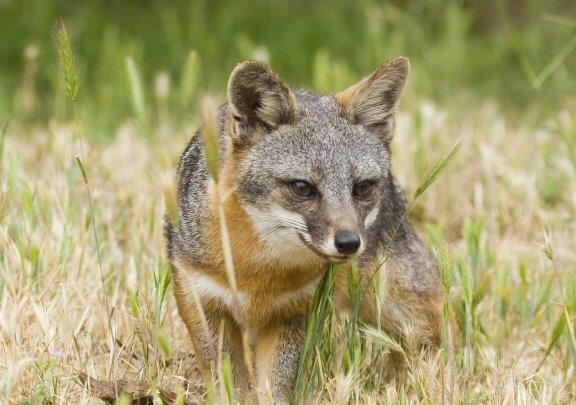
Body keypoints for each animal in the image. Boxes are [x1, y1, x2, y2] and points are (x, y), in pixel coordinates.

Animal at [164, 56, 444, 400]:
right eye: (302, 188)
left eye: (362, 188)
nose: (349, 243)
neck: (256, 273)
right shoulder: (203, 301)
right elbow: (229, 384)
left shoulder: (294, 312)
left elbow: (275, 388)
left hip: (402, 308)